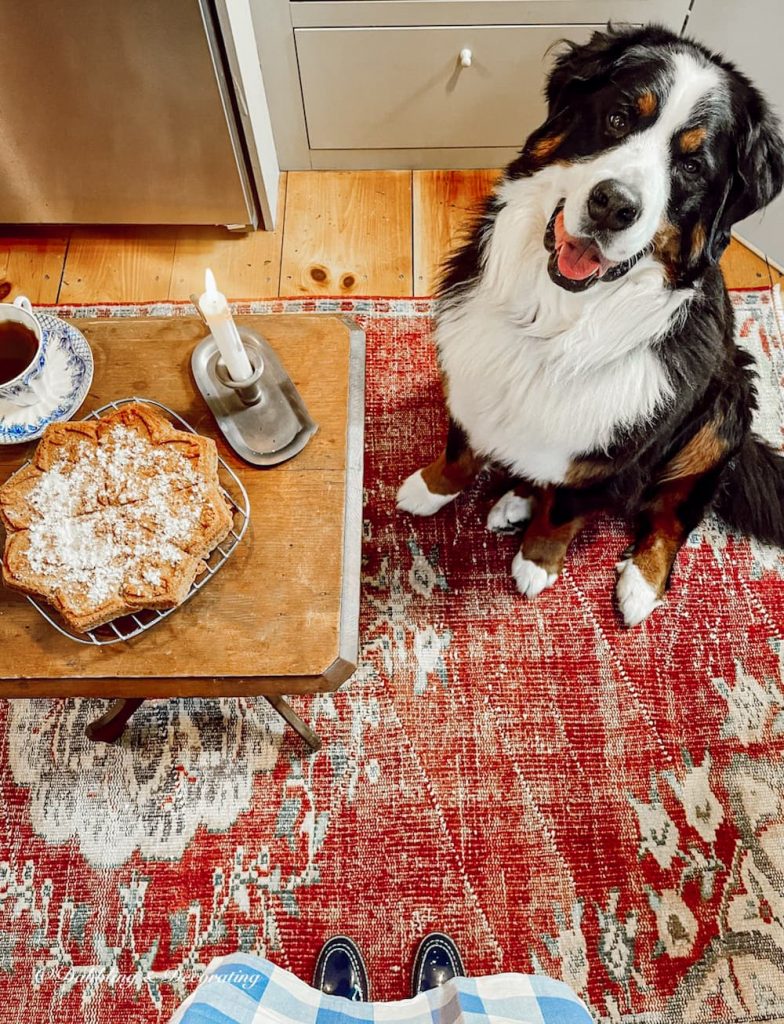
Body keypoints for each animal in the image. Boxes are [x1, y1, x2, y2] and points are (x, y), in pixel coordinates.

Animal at [399, 25, 784, 622]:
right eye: (620, 118)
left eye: (691, 166)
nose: (613, 205)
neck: (554, 325)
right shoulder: (472, 378)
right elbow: (461, 451)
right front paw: (429, 488)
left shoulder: (617, 451)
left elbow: (565, 512)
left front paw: (536, 562)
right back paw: (514, 501)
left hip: (723, 411)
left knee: (676, 513)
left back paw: (641, 585)